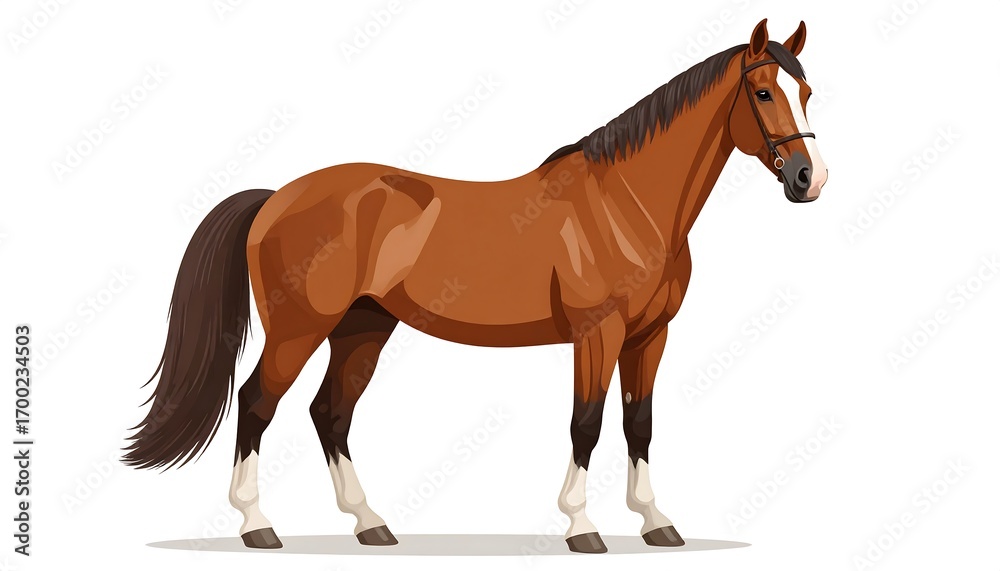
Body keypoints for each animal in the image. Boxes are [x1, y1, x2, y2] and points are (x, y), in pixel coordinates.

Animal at [123, 19, 828, 554]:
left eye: (807, 90)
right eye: (763, 93)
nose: (808, 178)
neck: (626, 202)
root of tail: (277, 197)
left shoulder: (649, 336)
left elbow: (639, 424)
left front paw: (657, 523)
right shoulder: (596, 334)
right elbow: (587, 424)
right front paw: (582, 527)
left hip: (364, 326)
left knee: (331, 412)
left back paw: (371, 524)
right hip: (300, 328)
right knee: (257, 404)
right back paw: (258, 526)